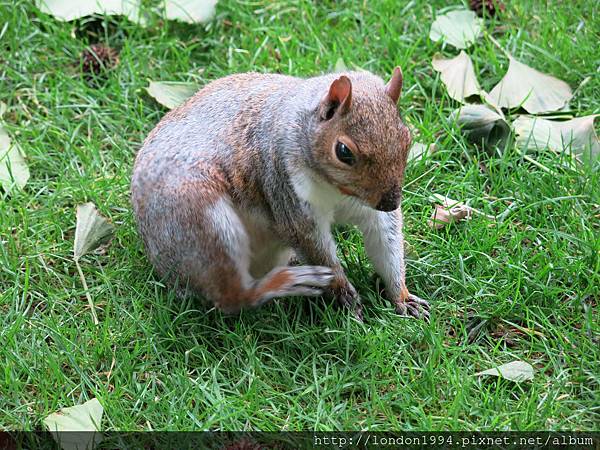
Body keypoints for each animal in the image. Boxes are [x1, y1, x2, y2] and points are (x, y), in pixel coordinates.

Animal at [132, 67, 432, 320]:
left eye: (407, 139)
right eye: (343, 151)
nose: (390, 202)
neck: (336, 190)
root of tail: (166, 270)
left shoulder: (370, 211)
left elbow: (385, 242)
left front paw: (402, 297)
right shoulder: (285, 189)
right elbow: (316, 248)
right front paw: (344, 295)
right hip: (204, 225)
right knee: (232, 297)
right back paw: (286, 282)